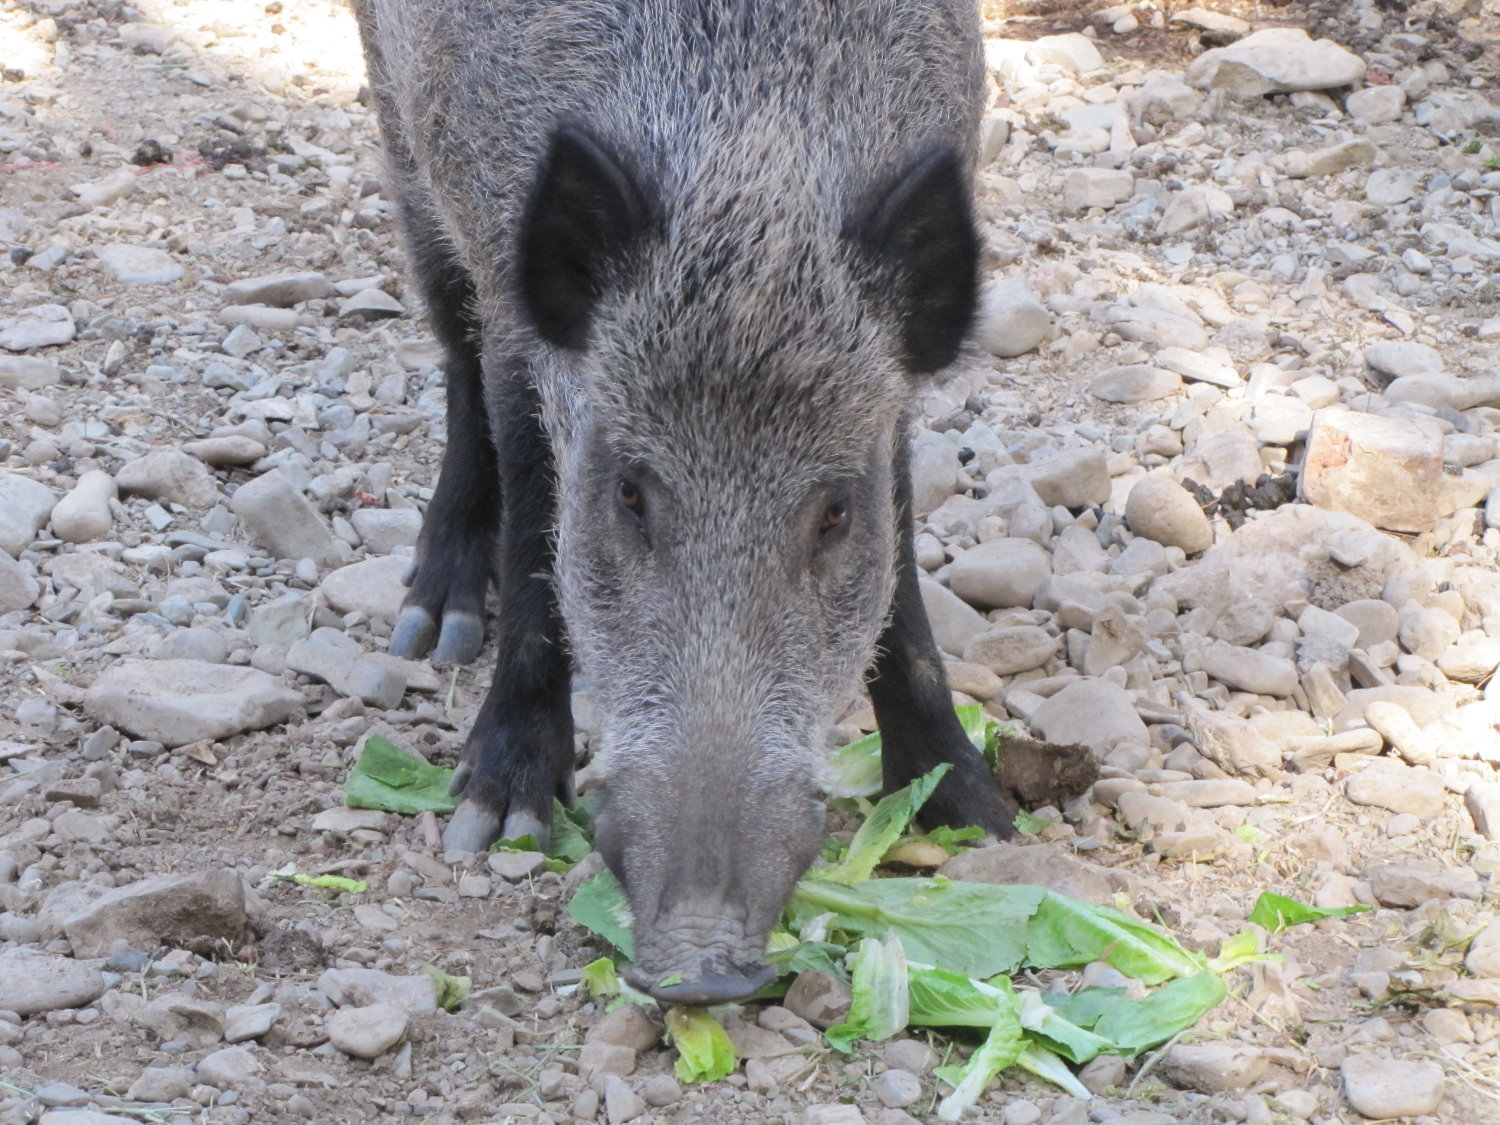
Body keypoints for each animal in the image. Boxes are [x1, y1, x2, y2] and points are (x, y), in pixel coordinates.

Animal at [352, 0, 1018, 1004]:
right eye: (629, 493)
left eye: (834, 513)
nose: (699, 966)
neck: (753, 149)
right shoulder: (514, 303)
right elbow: (536, 527)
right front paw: (497, 821)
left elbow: (901, 587)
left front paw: (977, 817)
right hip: (399, 127)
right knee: (452, 345)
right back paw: (436, 627)